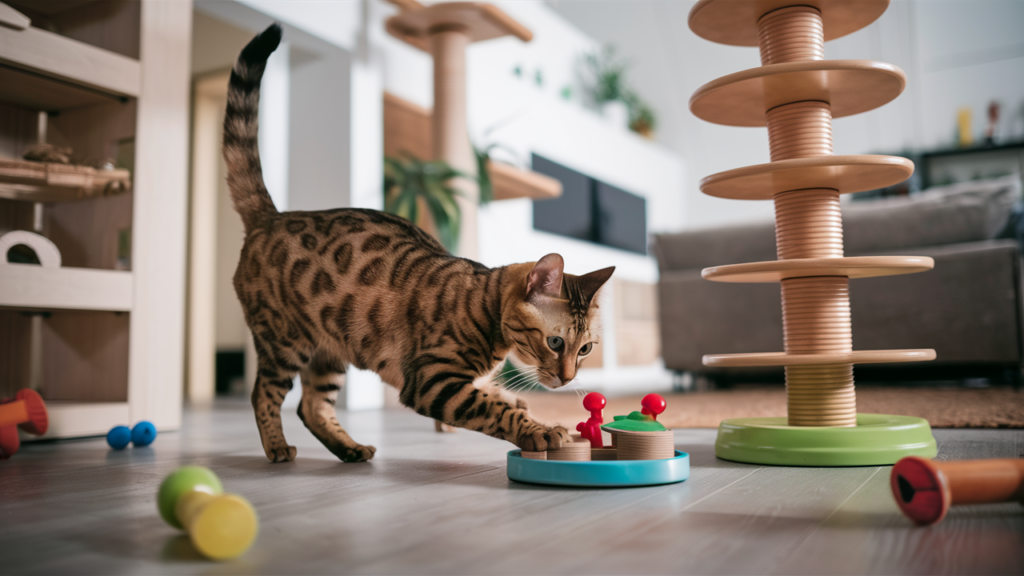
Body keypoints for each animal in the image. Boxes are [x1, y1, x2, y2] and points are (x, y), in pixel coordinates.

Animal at [224, 24, 610, 461]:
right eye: (555, 342)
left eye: (586, 349)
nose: (567, 379)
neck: (484, 306)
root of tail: (271, 216)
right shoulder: (433, 381)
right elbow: (493, 409)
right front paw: (540, 430)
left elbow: (496, 395)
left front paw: (524, 405)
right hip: (284, 343)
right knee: (264, 394)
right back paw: (277, 448)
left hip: (329, 353)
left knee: (312, 406)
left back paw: (350, 449)